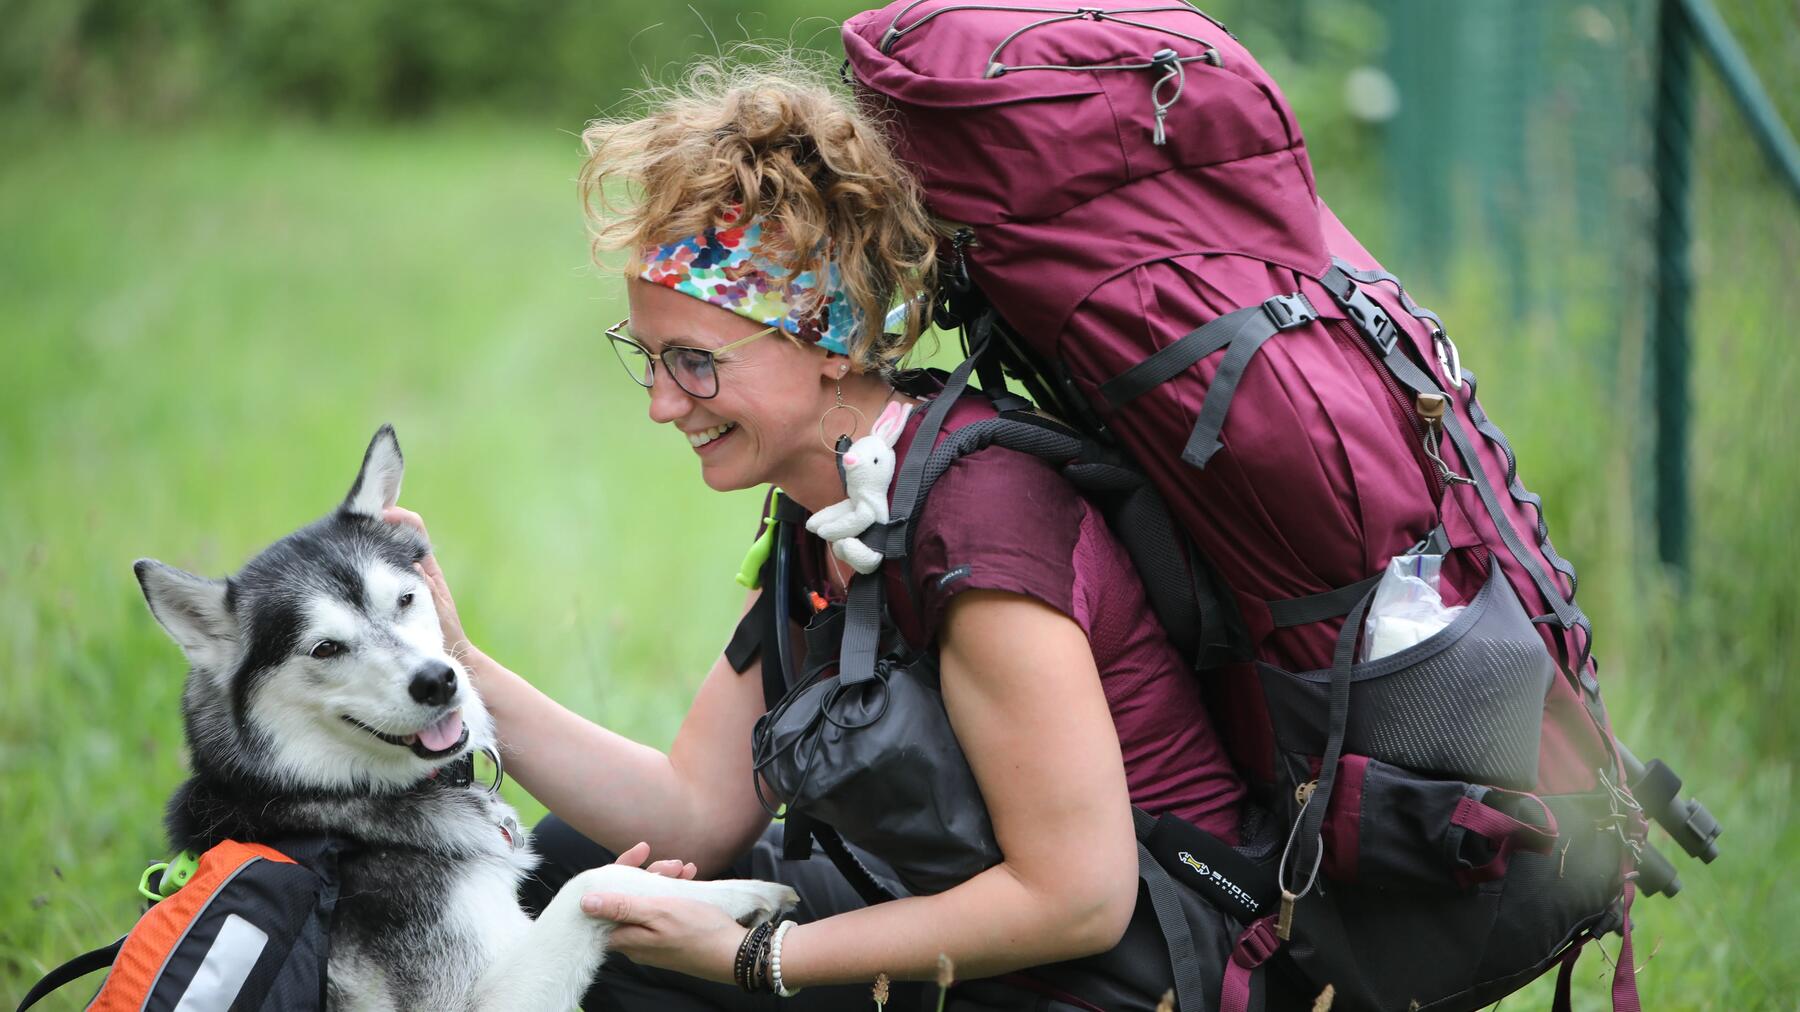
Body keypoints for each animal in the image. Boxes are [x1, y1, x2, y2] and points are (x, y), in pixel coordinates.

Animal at [133, 421, 795, 1001]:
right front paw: (743, 891)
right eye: (325, 648)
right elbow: (597, 880)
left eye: (405, 598)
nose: (438, 681)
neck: (327, 802)